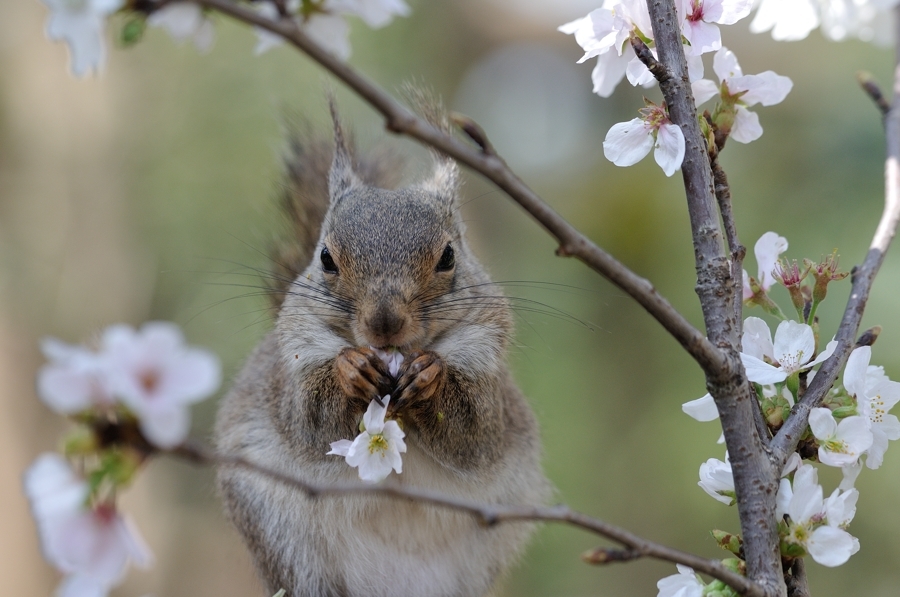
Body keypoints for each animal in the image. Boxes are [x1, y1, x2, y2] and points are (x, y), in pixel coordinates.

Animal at [214, 102, 548, 596]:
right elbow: (310, 419)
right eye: (326, 258)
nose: (384, 323)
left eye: (449, 256)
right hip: (284, 541)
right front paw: (350, 370)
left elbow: (473, 430)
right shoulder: (294, 369)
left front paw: (430, 376)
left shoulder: (487, 366)